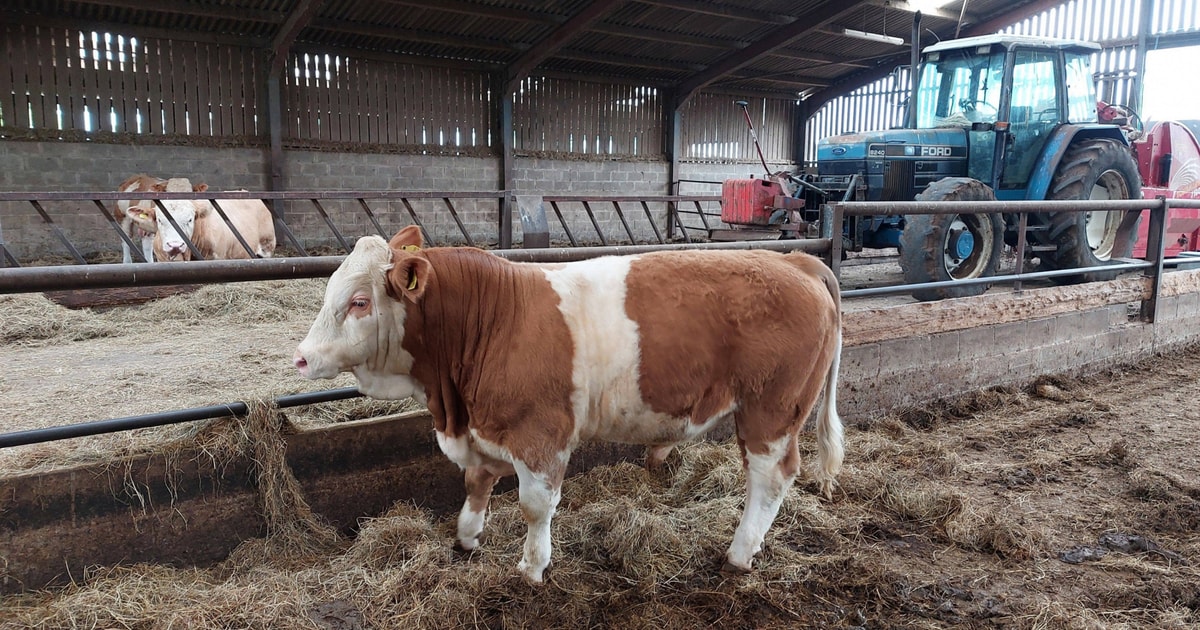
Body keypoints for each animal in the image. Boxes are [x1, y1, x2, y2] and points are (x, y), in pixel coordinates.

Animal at [293, 226, 844, 584]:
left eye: (359, 301)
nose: (301, 357)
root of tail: (793, 260)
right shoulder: (485, 429)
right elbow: (476, 483)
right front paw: (467, 539)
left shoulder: (542, 435)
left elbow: (535, 506)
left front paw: (532, 567)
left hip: (772, 410)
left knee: (770, 477)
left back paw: (739, 552)